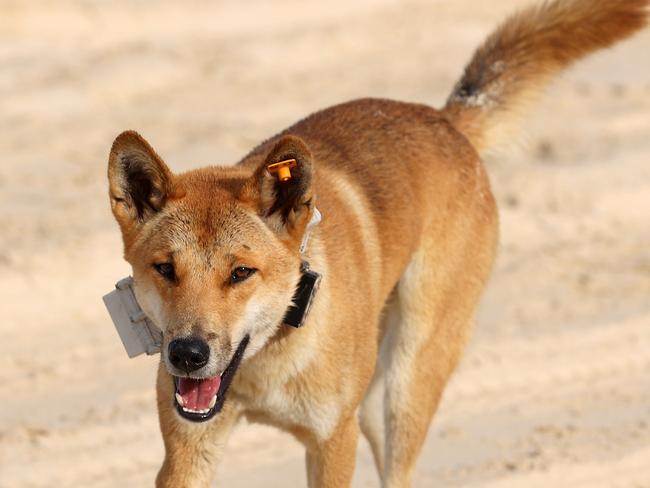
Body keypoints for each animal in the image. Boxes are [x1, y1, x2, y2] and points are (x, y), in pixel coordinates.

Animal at [105, 1, 644, 486]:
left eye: (240, 272)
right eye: (165, 269)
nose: (187, 355)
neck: (272, 355)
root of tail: (446, 120)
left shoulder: (333, 440)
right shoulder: (188, 452)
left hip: (406, 386)